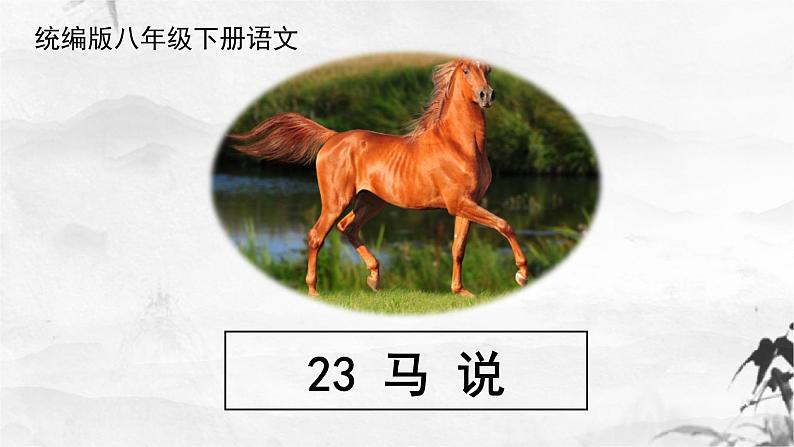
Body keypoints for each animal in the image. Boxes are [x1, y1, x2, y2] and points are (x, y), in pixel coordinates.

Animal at [228, 58, 529, 297]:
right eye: (466, 70)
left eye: (488, 69)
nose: (487, 95)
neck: (459, 144)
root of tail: (332, 138)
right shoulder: (459, 203)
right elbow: (505, 225)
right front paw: (521, 274)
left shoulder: (465, 204)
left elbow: (459, 248)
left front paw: (461, 292)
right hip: (337, 200)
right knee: (317, 235)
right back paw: (314, 290)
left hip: (371, 201)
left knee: (347, 227)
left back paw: (373, 278)